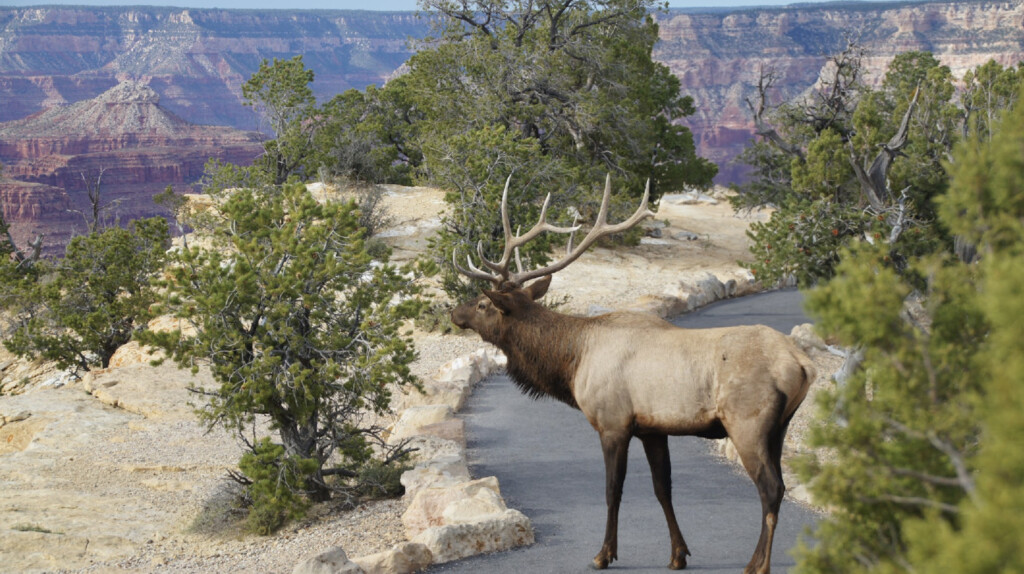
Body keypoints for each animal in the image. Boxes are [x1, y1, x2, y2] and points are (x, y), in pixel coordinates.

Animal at [452, 175, 811, 572]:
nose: (454, 312)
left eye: (482, 304)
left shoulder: (613, 422)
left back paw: (757, 563)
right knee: (778, 484)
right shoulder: (652, 429)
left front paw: (603, 554)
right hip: (780, 426)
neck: (573, 361)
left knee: (770, 488)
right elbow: (662, 489)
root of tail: (801, 363)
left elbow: (613, 489)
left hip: (747, 421)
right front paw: (678, 554)